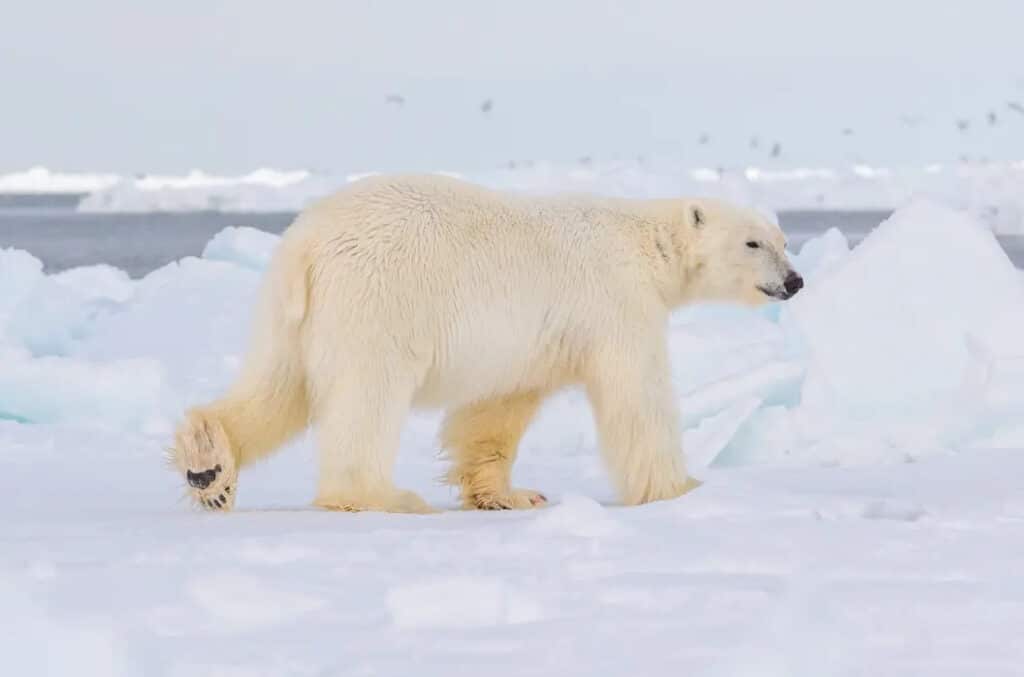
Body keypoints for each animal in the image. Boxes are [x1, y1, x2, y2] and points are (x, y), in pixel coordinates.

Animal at [172, 173, 802, 512]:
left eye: (782, 239)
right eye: (753, 243)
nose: (795, 281)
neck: (646, 245)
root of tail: (306, 241)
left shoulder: (531, 338)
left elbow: (497, 408)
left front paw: (509, 494)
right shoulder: (616, 303)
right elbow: (636, 397)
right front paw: (682, 487)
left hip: (291, 315)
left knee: (277, 387)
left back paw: (208, 467)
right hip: (377, 300)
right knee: (365, 397)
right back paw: (382, 496)